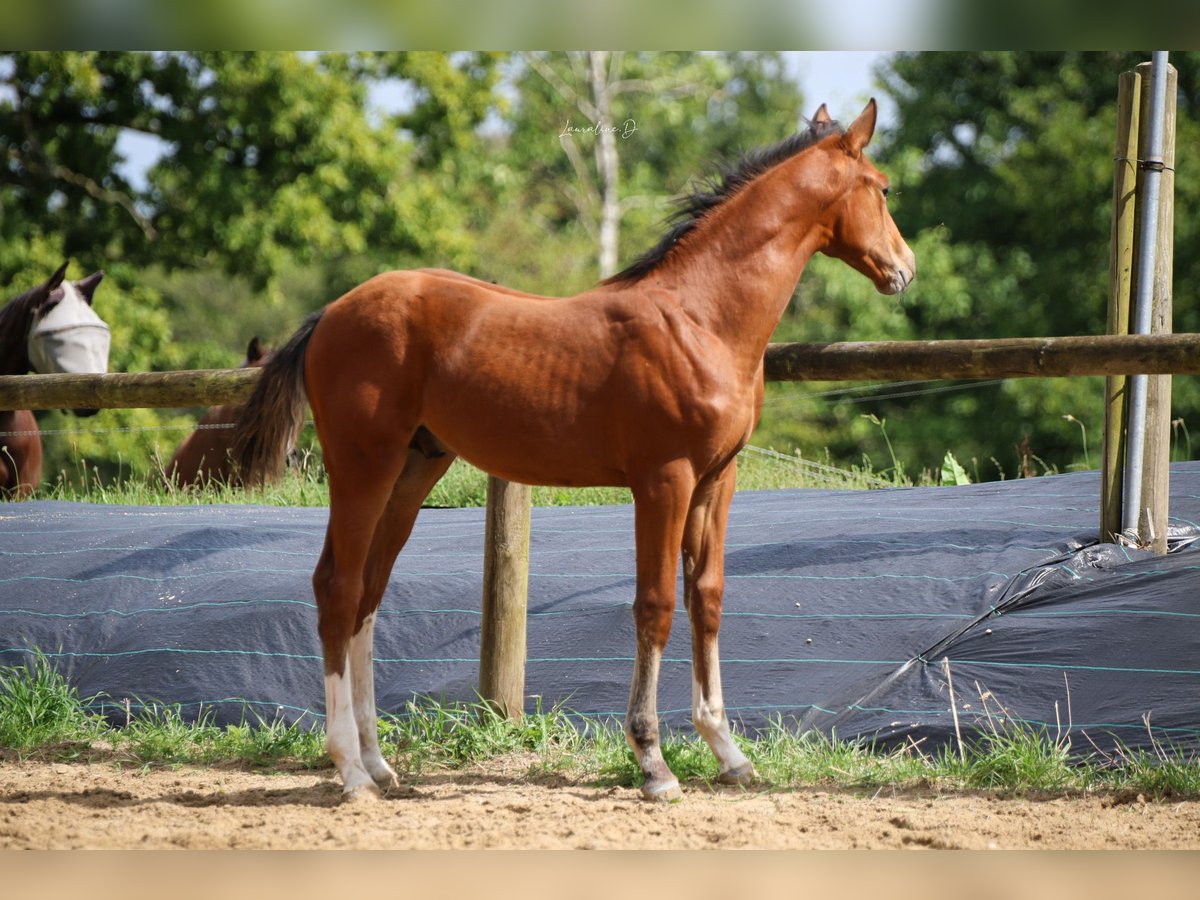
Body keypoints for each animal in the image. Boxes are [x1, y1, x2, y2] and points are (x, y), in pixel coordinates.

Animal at [231, 100, 907, 801]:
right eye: (884, 188)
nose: (903, 269)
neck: (701, 318)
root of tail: (329, 315)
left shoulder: (717, 480)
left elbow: (708, 598)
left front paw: (729, 753)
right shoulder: (664, 480)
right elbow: (655, 605)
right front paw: (654, 762)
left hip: (414, 470)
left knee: (367, 592)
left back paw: (379, 763)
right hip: (364, 465)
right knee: (337, 590)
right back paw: (350, 770)